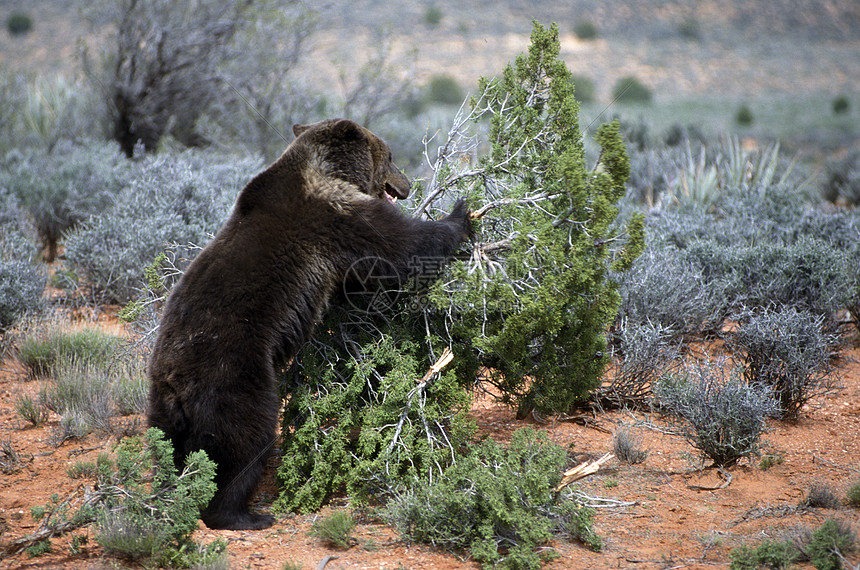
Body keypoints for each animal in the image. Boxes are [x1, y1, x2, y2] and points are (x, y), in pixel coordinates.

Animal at [148, 117, 470, 532]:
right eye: (391, 155)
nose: (407, 183)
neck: (326, 169)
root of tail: (175, 379)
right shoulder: (335, 215)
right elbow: (400, 247)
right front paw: (461, 215)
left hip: (163, 405)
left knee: (168, 447)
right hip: (233, 375)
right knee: (243, 439)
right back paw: (242, 513)